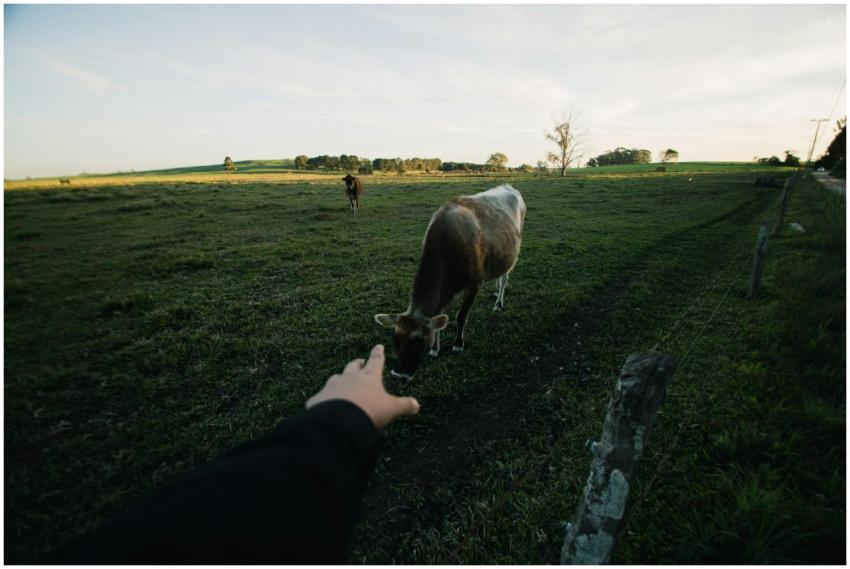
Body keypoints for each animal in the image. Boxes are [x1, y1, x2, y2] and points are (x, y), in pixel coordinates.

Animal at [375, 184, 526, 380]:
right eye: (395, 341)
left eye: (418, 342)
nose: (398, 374)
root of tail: (507, 186)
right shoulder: (446, 293)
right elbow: (440, 321)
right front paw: (435, 349)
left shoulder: (474, 285)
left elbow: (460, 317)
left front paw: (458, 345)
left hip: (512, 254)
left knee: (504, 280)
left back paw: (498, 303)